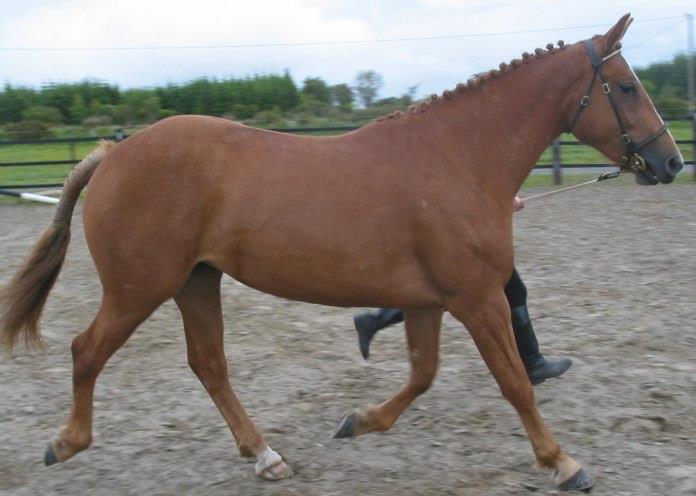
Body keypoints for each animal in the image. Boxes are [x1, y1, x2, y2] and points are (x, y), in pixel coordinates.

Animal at [0, 14, 683, 491]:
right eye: (627, 86)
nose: (671, 161)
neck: (459, 158)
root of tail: (114, 154)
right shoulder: (478, 297)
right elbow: (514, 382)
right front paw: (563, 462)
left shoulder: (431, 300)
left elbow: (423, 373)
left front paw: (359, 421)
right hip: (139, 287)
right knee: (87, 351)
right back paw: (66, 443)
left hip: (197, 281)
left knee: (209, 365)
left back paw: (266, 456)